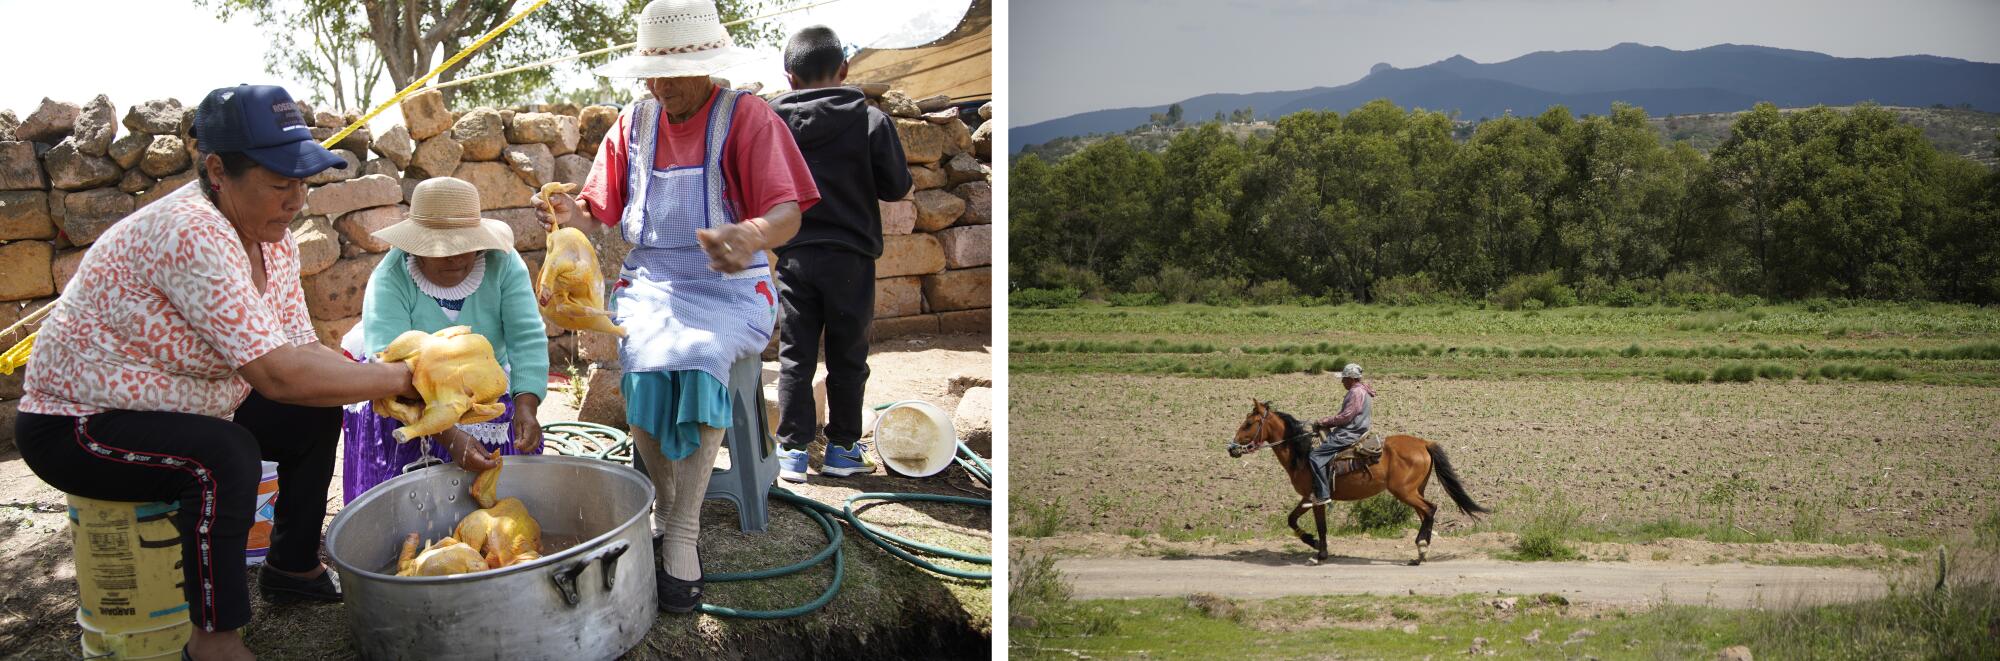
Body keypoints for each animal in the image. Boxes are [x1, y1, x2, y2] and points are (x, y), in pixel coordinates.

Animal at [1216, 400, 1488, 564]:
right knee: (1426, 514)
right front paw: (1312, 542)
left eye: (1248, 423)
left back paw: (1420, 547)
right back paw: (1421, 554)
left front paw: (1320, 552)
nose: (1231, 448)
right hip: (1414, 491)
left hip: (1405, 492)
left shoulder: (1318, 497)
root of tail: (1423, 443)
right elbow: (1291, 519)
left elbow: (1321, 526)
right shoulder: (1307, 497)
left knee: (1430, 509)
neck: (1302, 454)